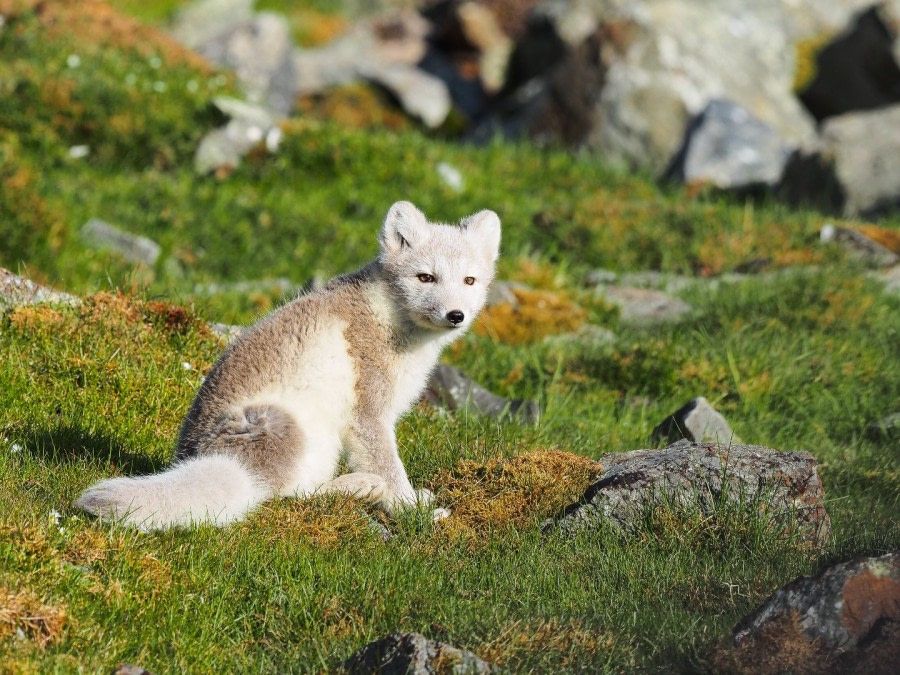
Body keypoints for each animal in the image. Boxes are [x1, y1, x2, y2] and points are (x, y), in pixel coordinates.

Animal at [74, 203, 500, 532]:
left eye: (469, 280)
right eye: (425, 277)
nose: (456, 315)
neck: (389, 317)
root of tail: (201, 456)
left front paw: (416, 501)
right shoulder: (368, 413)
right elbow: (390, 467)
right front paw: (413, 512)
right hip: (282, 424)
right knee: (285, 498)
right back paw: (358, 487)